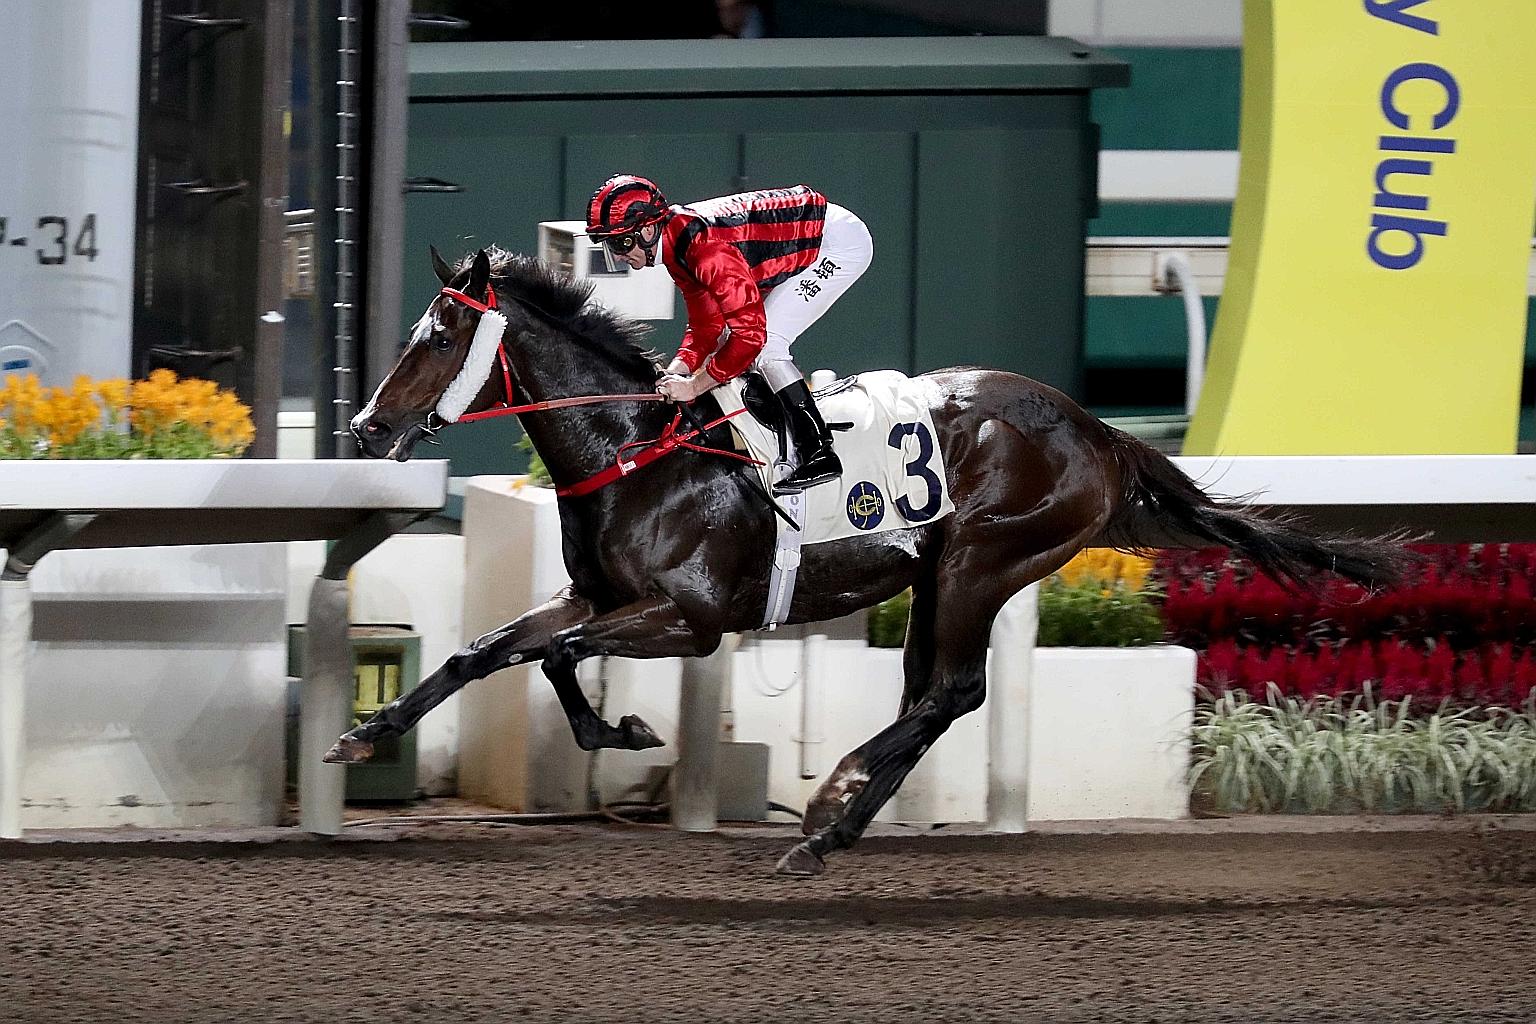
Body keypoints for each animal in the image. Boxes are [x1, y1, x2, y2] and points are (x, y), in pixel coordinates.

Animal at [329, 246, 1412, 875]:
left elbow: (551, 657)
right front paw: (366, 733)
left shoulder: (691, 620)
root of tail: (1100, 432)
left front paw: (624, 729)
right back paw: (830, 830)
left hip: (983, 559)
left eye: (437, 337)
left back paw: (829, 803)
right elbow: (485, 653)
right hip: (940, 577)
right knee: (934, 694)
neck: (641, 448)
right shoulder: (592, 593)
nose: (368, 425)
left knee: (953, 691)